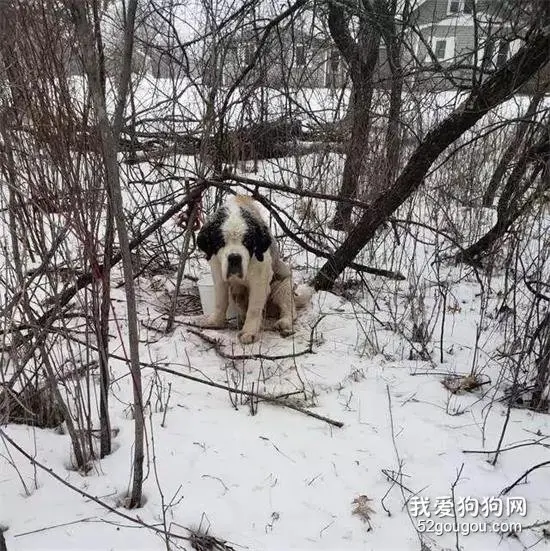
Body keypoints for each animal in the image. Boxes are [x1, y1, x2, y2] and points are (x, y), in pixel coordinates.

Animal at [196, 195, 312, 344]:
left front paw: (249, 332)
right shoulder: (218, 272)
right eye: (221, 242)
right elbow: (220, 301)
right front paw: (215, 321)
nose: (234, 257)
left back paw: (283, 322)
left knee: (289, 308)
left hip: (283, 285)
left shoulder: (260, 279)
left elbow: (254, 308)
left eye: (247, 242)